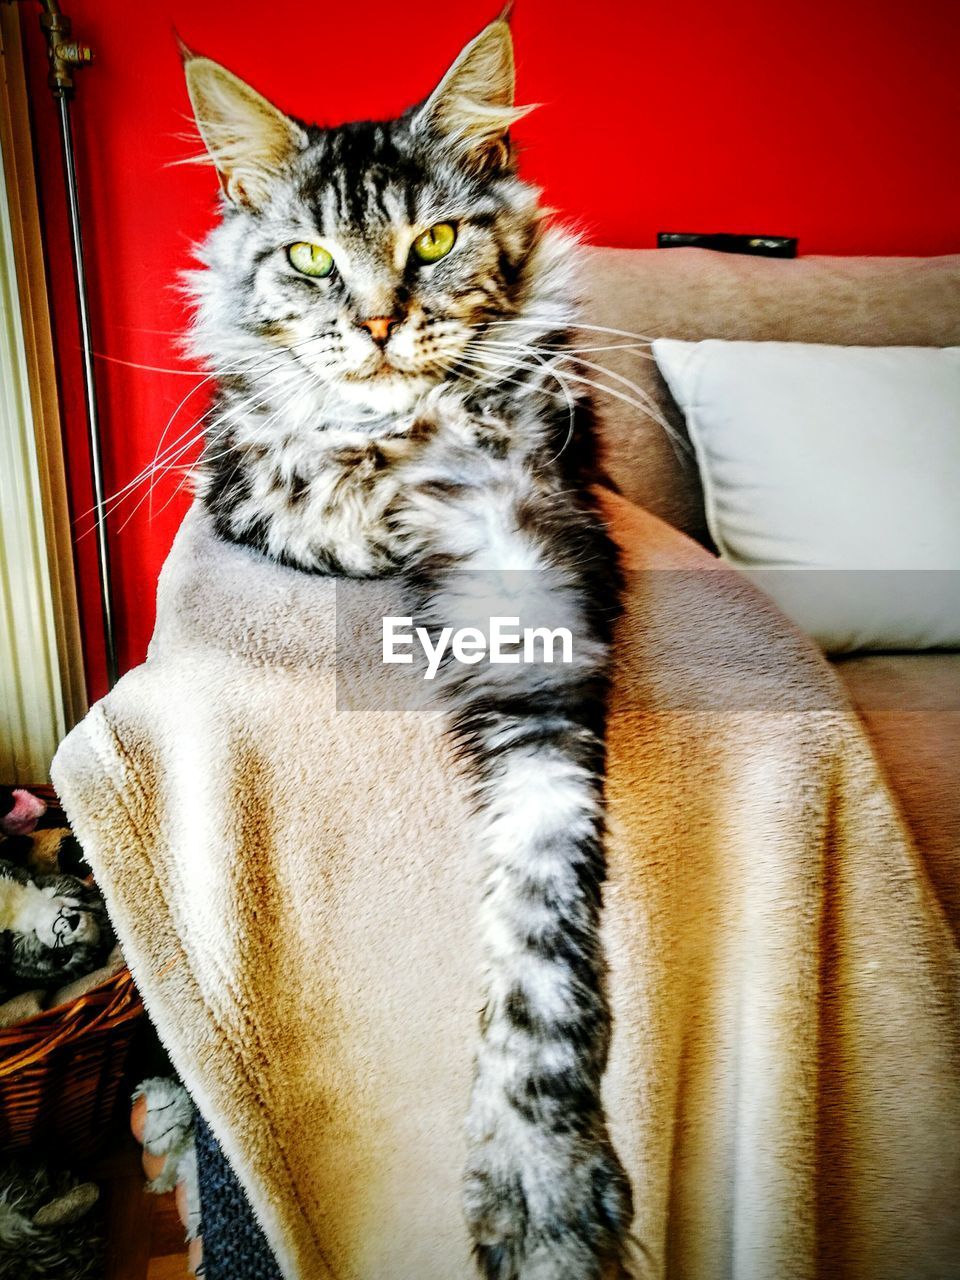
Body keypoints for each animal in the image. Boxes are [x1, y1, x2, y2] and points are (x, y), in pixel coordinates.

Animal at [183, 20, 634, 1280]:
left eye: (432, 239)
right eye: (308, 259)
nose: (379, 324)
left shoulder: (542, 590)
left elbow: (541, 921)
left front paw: (541, 1179)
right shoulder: (235, 480)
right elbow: (312, 491)